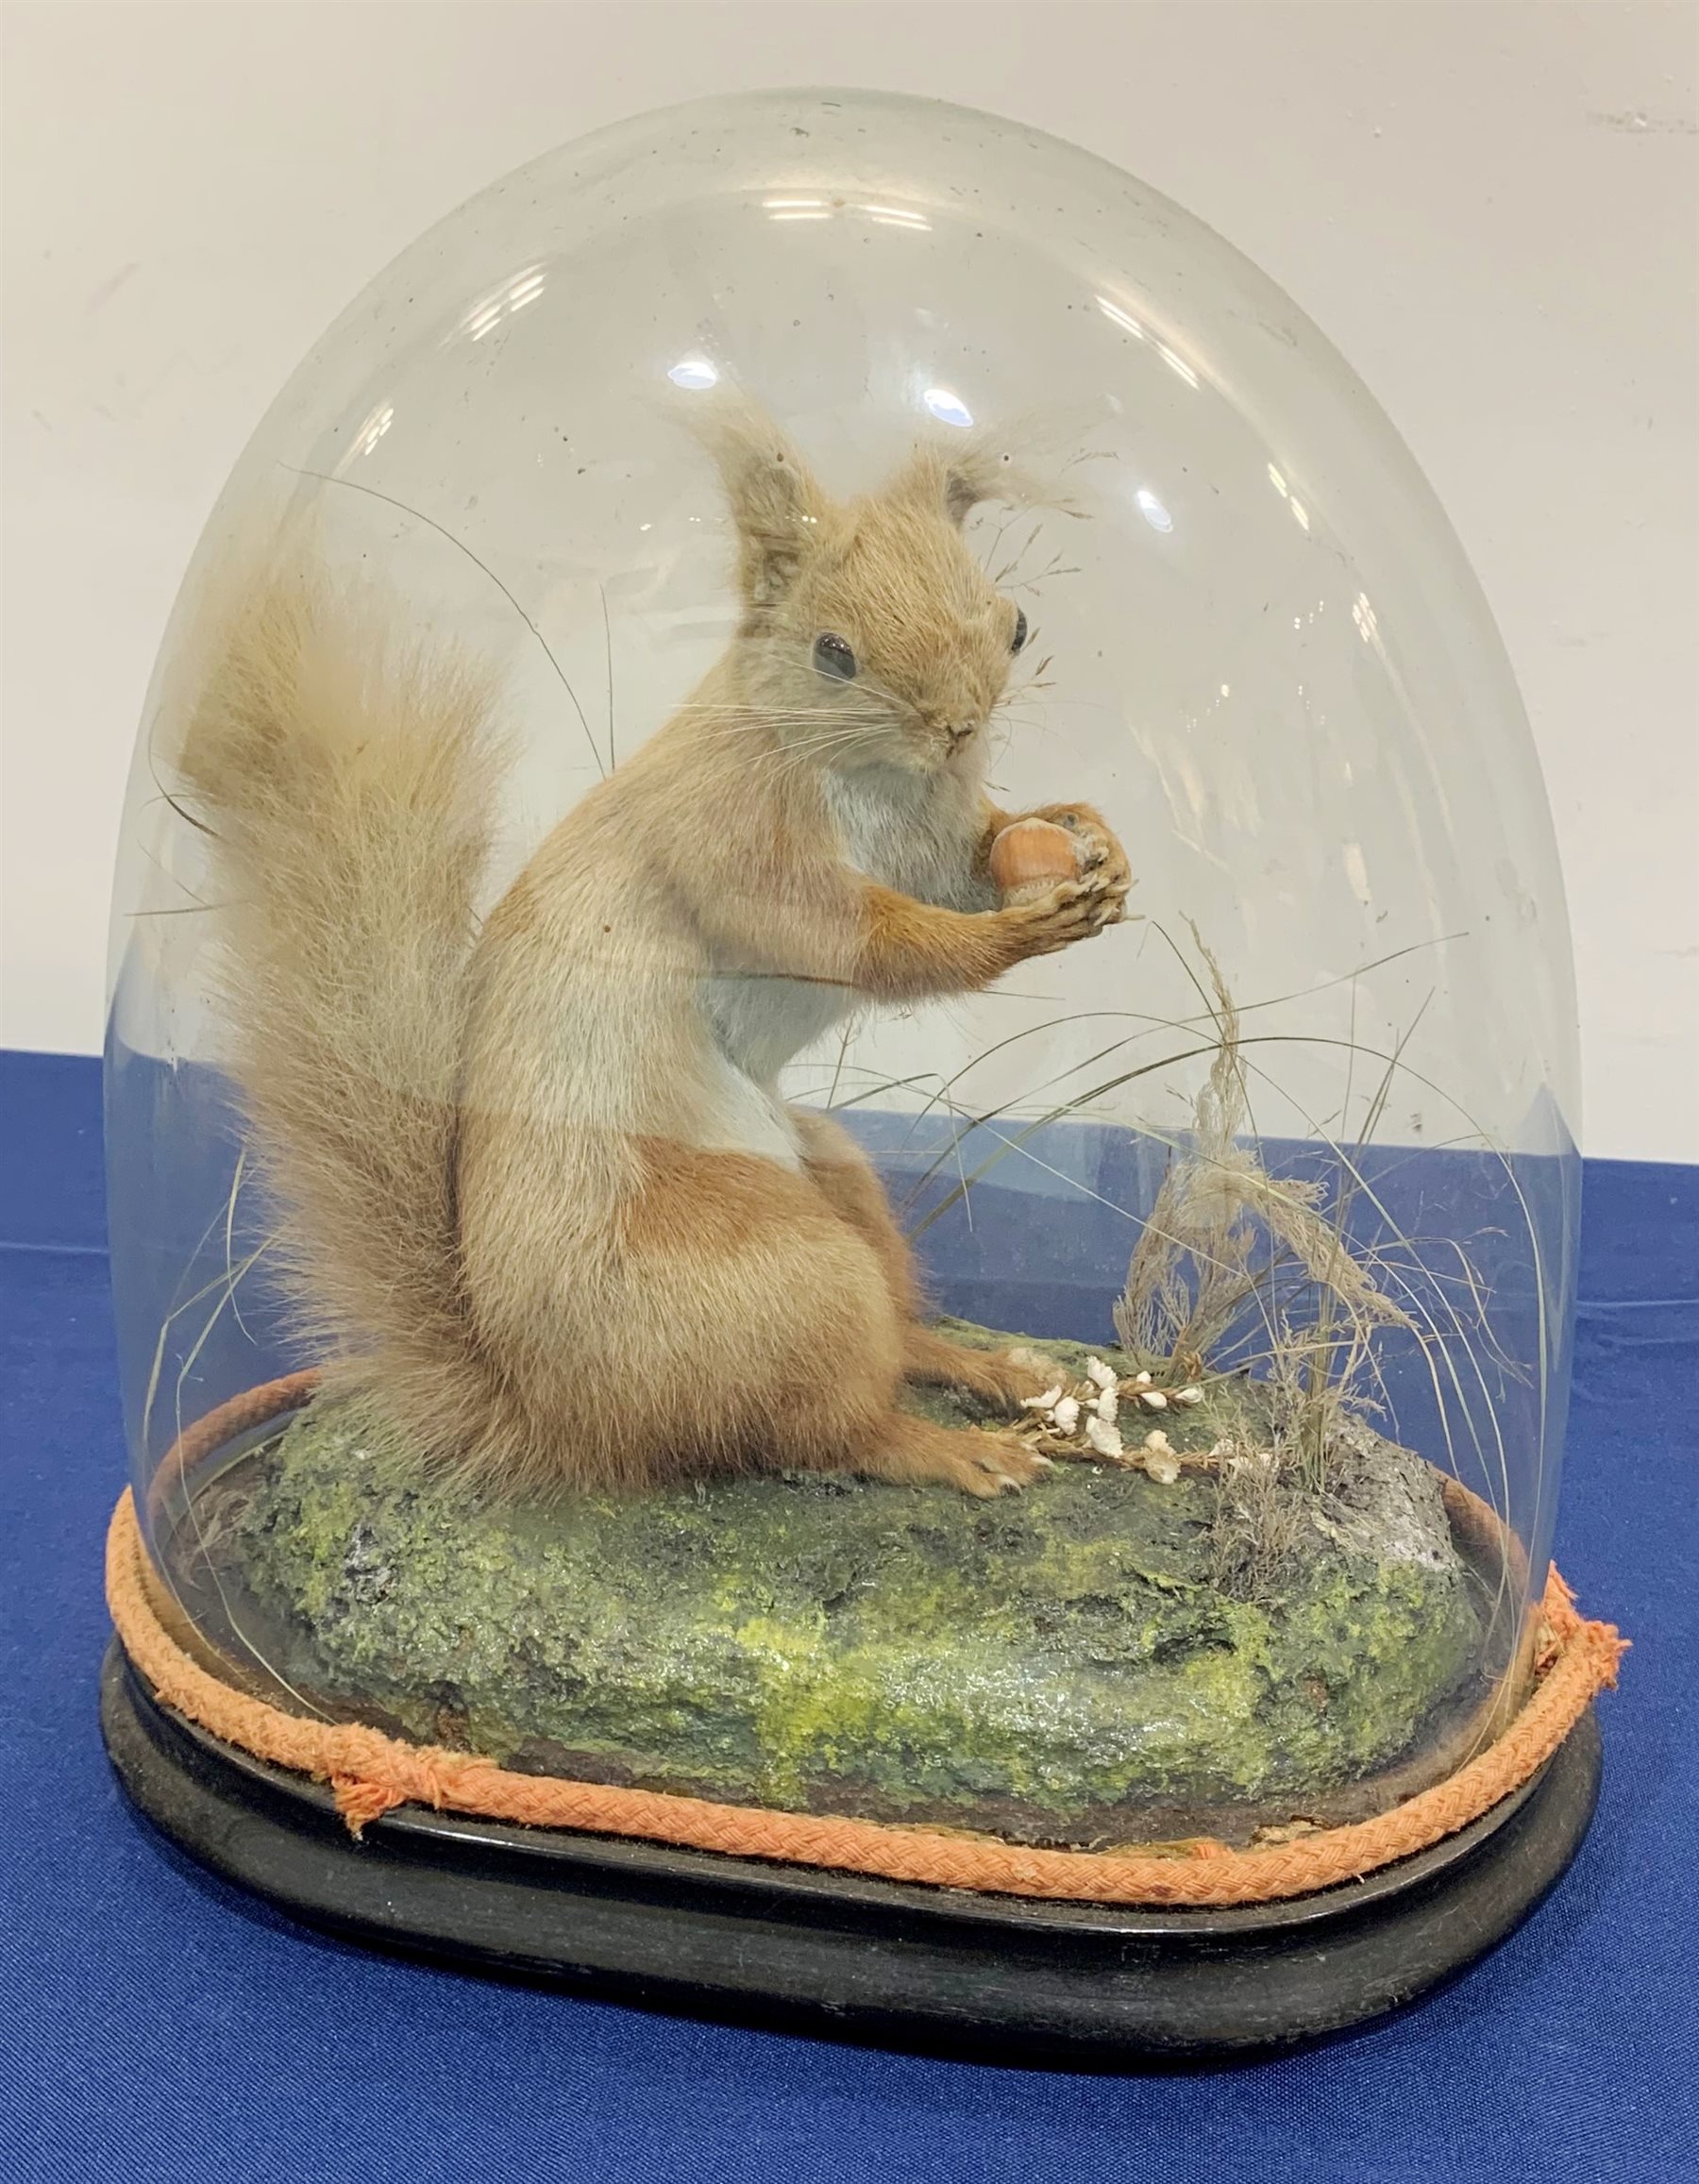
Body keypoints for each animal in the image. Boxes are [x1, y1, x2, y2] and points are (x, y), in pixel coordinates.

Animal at [173, 403, 1132, 1500]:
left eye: (1017, 625)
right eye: (833, 653)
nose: (958, 728)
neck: (873, 777)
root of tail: (563, 1411)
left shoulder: (932, 835)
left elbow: (973, 858)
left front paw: (1091, 838)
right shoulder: (727, 834)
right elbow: (852, 936)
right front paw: (1019, 928)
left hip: (839, 1183)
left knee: (896, 1340)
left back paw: (993, 1369)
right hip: (777, 1274)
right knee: (833, 1426)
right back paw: (957, 1448)